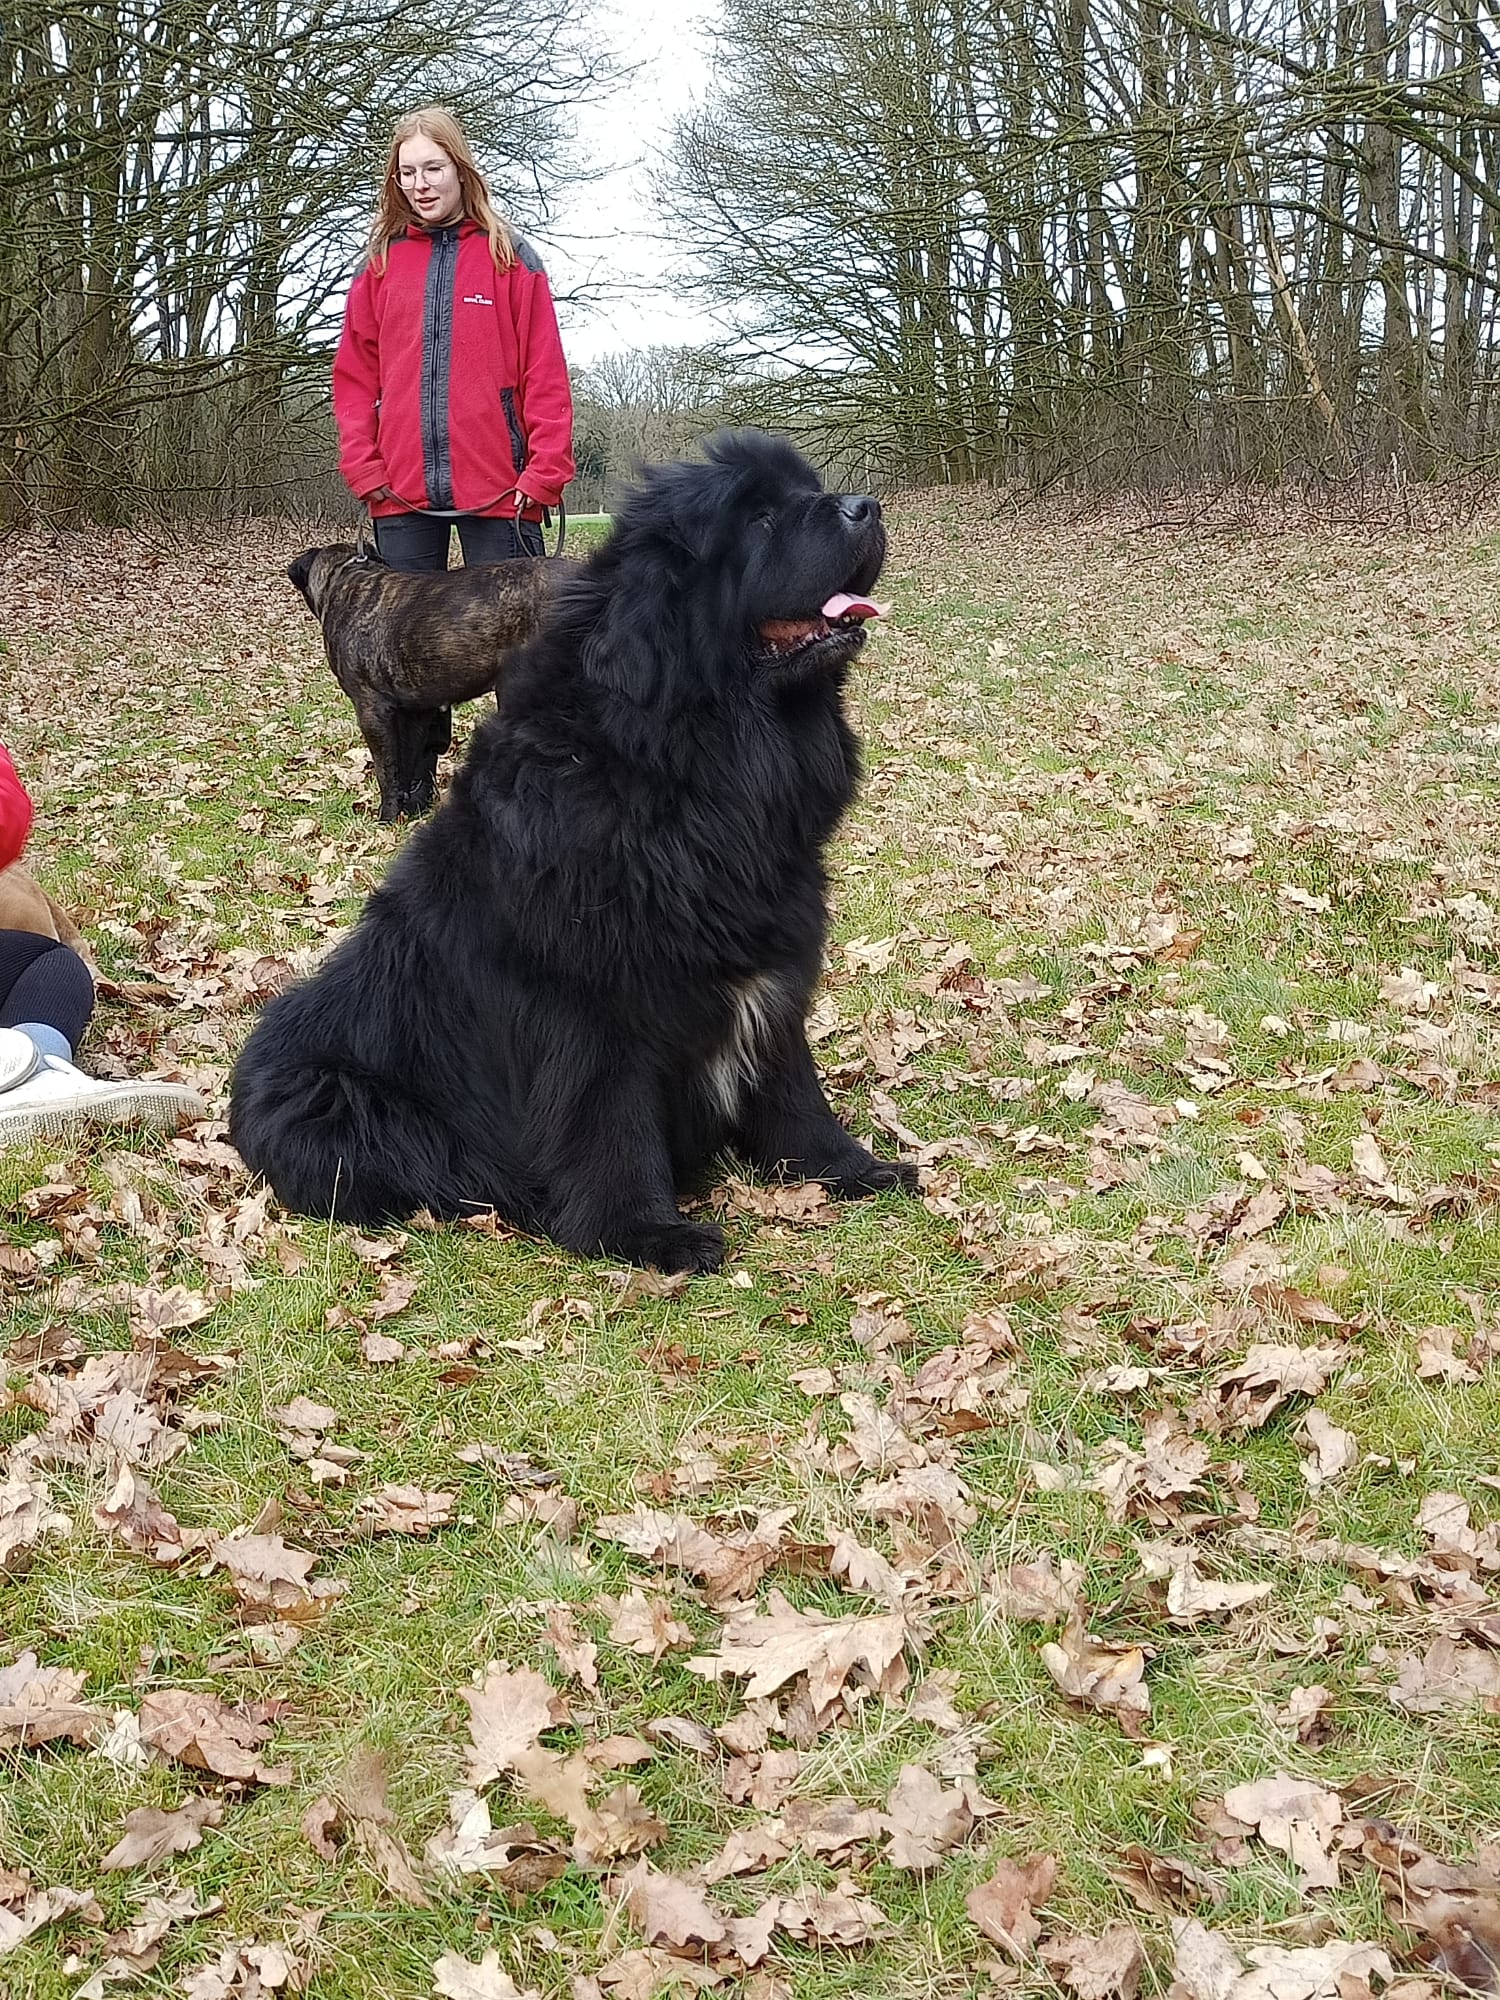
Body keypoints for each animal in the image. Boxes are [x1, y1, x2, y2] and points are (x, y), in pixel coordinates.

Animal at [288, 544, 580, 816]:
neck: (346, 577)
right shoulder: (416, 712)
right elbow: (406, 762)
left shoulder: (371, 709)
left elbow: (386, 770)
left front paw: (386, 815)